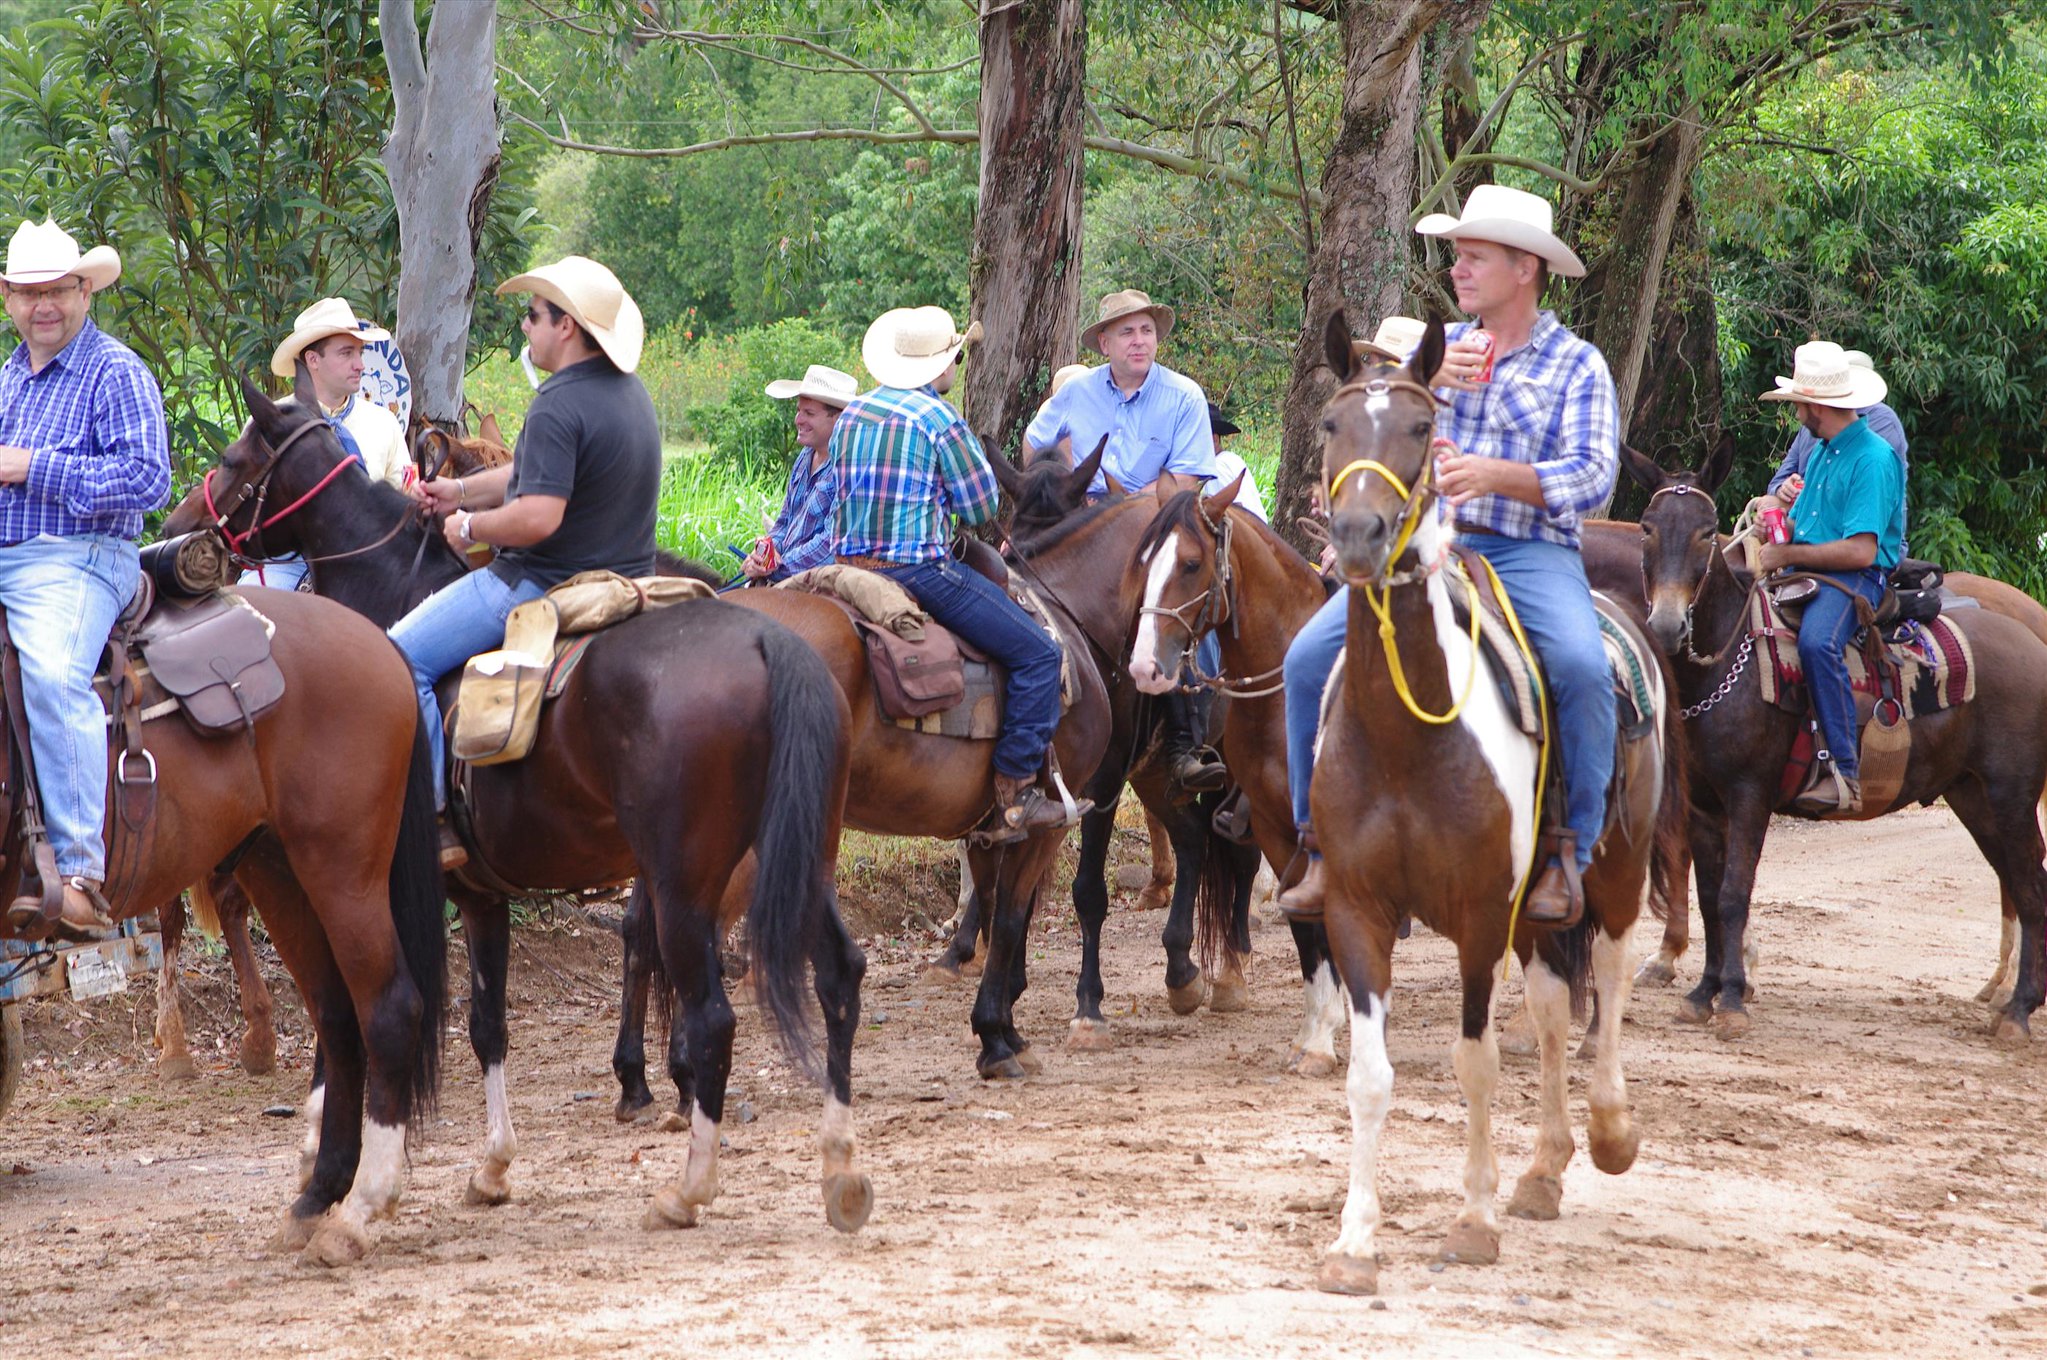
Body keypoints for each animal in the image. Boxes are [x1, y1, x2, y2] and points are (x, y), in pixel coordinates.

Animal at [0, 589, 446, 1269]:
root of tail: (378, 638)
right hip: (279, 869)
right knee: (337, 1019)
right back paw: (318, 1195)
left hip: (343, 869)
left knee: (388, 1012)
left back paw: (359, 1211)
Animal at [161, 378, 863, 1228]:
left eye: (235, 458)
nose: (174, 531)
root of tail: (771, 643)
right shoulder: (481, 894)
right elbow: (488, 1026)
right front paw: (492, 1166)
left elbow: (364, 1010)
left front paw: (324, 1146)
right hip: (800, 859)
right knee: (838, 977)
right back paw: (839, 1165)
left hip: (684, 882)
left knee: (712, 1017)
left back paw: (688, 1186)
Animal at [1293, 311, 1678, 1294]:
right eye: (1331, 424)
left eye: (1422, 426)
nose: (1358, 534)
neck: (1406, 737)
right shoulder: (1357, 910)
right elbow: (1371, 1076)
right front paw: (1354, 1244)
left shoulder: (1475, 915)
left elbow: (1474, 1062)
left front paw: (1469, 1221)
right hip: (1536, 912)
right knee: (1549, 1009)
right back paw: (1541, 1172)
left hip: (1612, 873)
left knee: (1607, 976)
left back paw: (1609, 1133)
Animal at [1613, 440, 2046, 1036]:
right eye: (1647, 528)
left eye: (1705, 532)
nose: (1667, 626)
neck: (1729, 665)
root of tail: (2033, 641)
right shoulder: (1705, 806)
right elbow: (1708, 897)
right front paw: (1703, 993)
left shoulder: (1749, 796)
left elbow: (1733, 895)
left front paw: (1731, 1000)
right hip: (1974, 796)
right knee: (2021, 886)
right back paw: (2009, 1001)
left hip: (2012, 797)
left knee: (2030, 888)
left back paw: (2020, 1009)